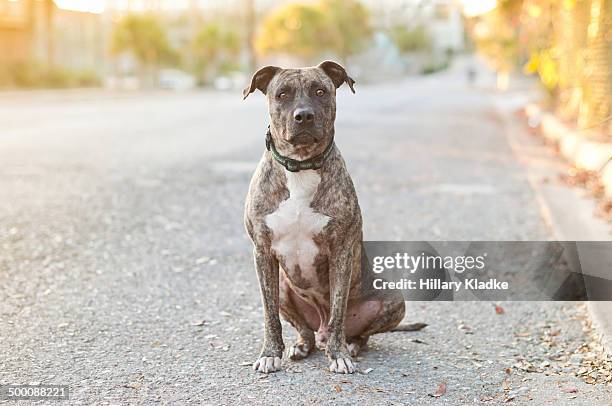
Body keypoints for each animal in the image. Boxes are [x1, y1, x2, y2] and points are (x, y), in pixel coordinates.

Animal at [243, 61, 406, 374]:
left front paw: (339, 354)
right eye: (282, 94)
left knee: (355, 332)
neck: (301, 165)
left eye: (320, 91)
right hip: (284, 287)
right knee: (304, 329)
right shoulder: (262, 253)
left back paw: (350, 345)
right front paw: (269, 354)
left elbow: (337, 312)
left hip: (394, 300)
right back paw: (301, 345)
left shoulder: (340, 251)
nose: (304, 115)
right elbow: (270, 315)